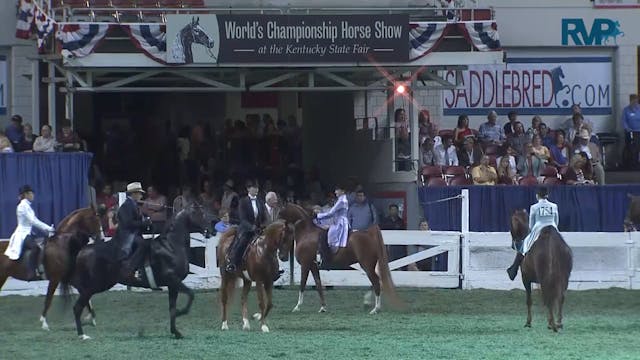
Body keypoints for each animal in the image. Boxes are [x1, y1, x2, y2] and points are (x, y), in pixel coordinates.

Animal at [62, 204, 212, 338]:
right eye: (201, 214)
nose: (212, 230)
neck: (171, 246)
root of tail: (82, 250)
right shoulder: (173, 280)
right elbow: (191, 295)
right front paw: (181, 313)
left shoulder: (172, 285)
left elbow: (172, 308)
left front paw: (176, 332)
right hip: (92, 286)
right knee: (77, 308)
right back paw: (82, 335)